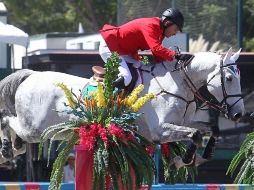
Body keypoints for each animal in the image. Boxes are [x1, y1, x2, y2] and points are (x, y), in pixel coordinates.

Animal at [0, 47, 245, 168]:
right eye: (229, 78)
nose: (239, 114)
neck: (177, 83)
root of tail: (31, 75)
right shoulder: (160, 130)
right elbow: (195, 135)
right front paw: (181, 161)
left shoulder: (182, 122)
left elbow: (210, 130)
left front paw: (204, 156)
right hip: (34, 127)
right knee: (7, 120)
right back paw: (6, 148)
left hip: (48, 130)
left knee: (17, 136)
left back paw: (12, 149)